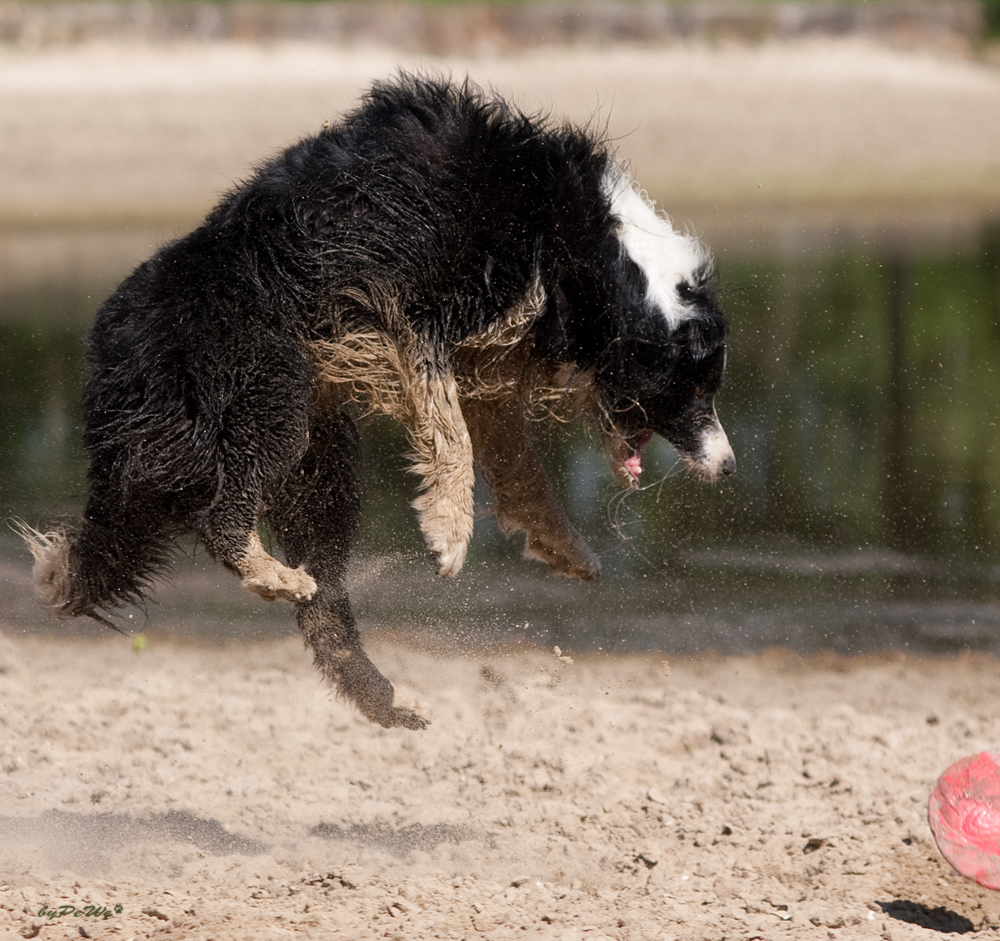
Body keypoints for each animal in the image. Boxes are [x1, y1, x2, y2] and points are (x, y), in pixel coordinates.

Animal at [17, 77, 736, 732]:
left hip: (320, 470)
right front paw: (450, 535)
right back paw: (273, 574)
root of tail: (114, 363)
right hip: (273, 397)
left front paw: (565, 548)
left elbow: (515, 461)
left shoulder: (484, 363)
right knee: (226, 518)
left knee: (325, 609)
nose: (730, 467)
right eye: (697, 387)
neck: (586, 251)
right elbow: (453, 436)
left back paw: (389, 700)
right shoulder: (415, 314)